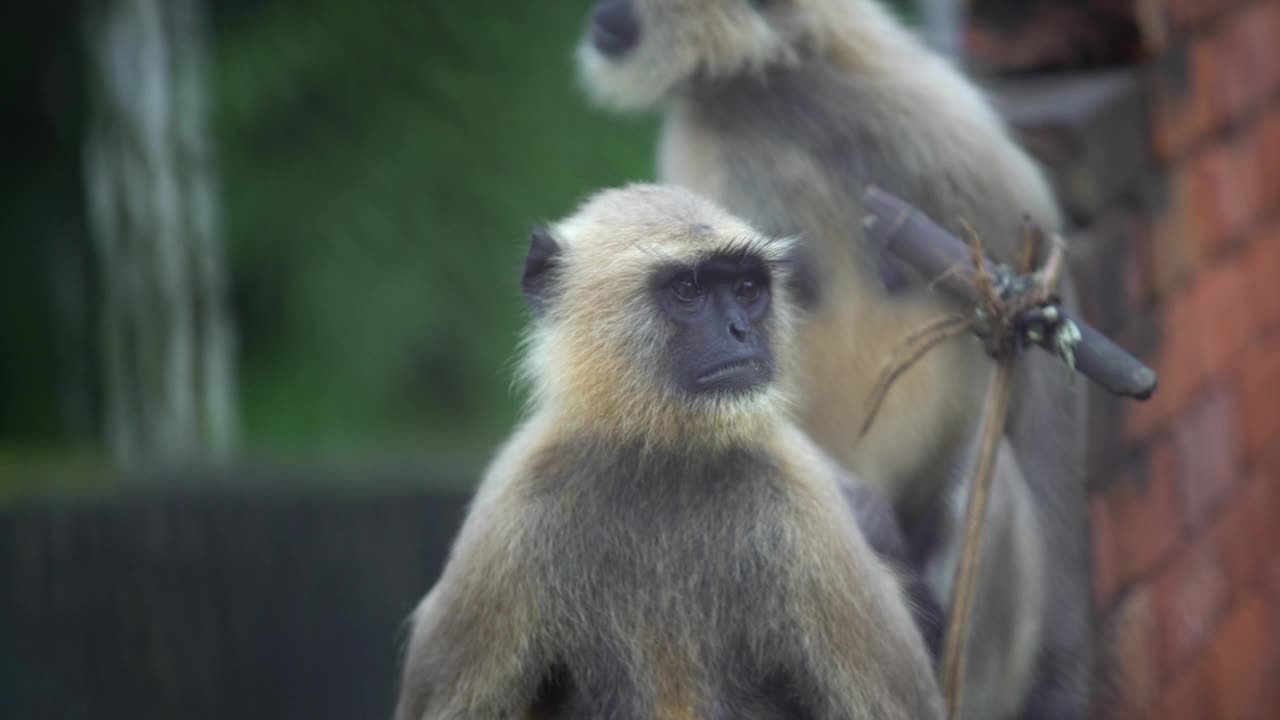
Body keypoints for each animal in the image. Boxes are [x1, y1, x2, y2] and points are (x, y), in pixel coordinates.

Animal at [394, 183, 947, 717]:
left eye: (747, 290)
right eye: (688, 289)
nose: (741, 330)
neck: (666, 454)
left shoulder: (806, 507)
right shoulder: (514, 506)